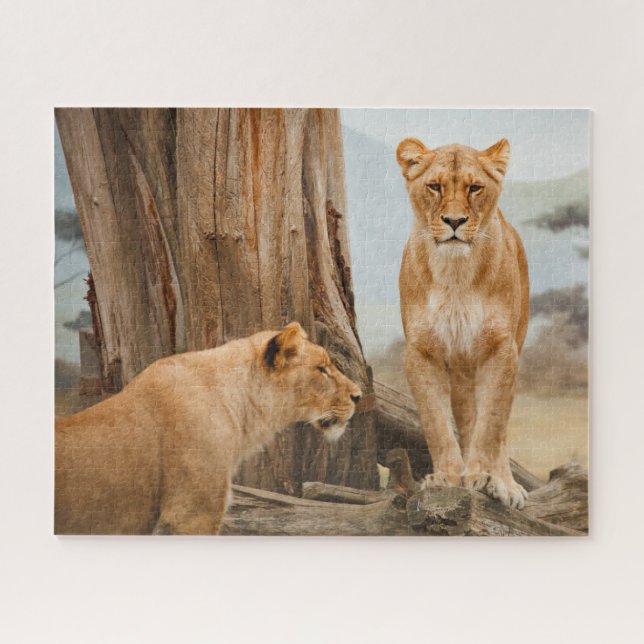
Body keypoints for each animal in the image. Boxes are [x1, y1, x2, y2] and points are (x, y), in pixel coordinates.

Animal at [396, 137, 530, 509]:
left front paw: (484, 478)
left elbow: (492, 425)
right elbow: (436, 422)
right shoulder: (421, 352)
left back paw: (505, 484)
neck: (455, 273)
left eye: (474, 187)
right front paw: (446, 476)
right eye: (434, 186)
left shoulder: (500, 349)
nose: (454, 221)